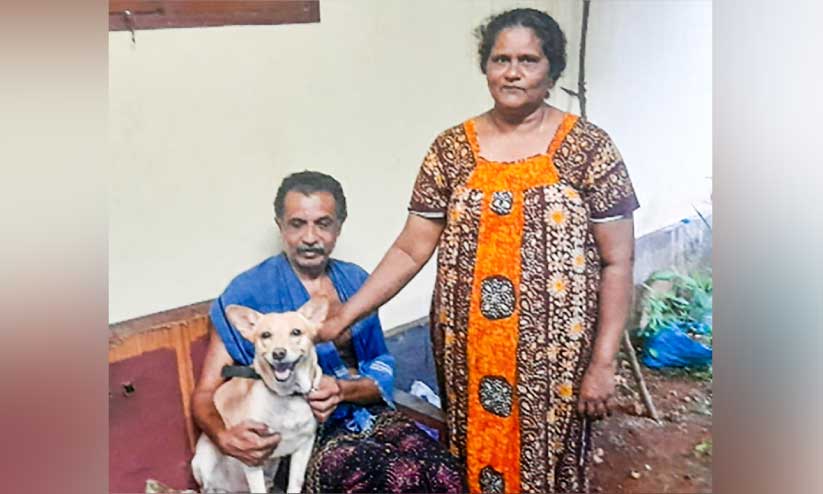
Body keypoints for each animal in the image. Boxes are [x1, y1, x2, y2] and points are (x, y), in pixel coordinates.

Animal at [191, 298, 326, 493]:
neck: (288, 395)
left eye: (296, 332)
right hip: (203, 462)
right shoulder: (252, 457)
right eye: (265, 335)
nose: (278, 353)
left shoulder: (304, 446)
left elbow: (295, 483)